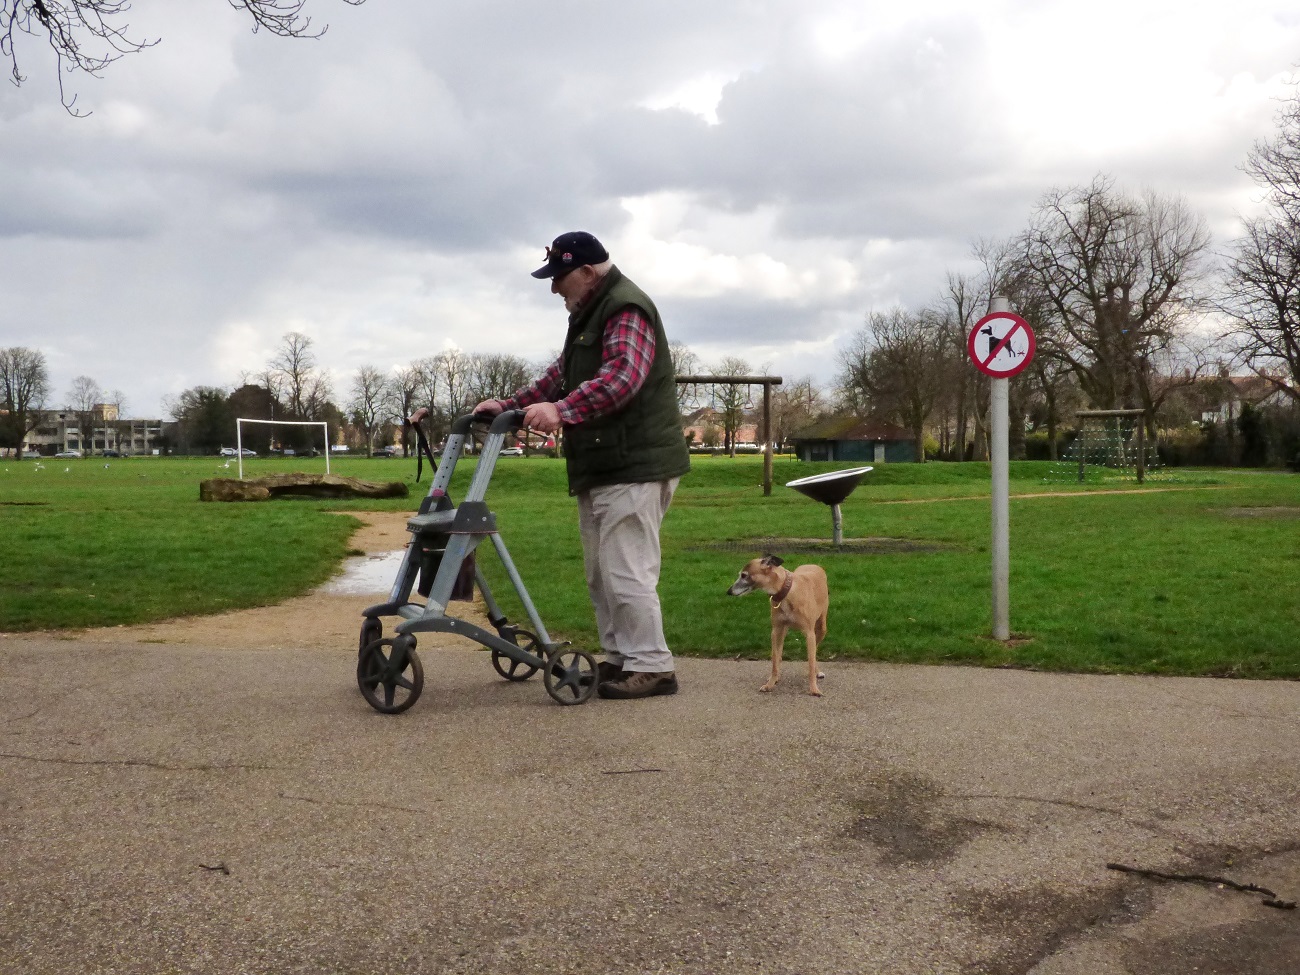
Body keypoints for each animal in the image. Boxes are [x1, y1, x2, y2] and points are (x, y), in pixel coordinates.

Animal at [728, 556, 826, 696]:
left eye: (744, 575)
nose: (729, 591)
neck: (787, 593)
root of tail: (813, 564)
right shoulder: (776, 631)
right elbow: (774, 659)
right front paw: (770, 684)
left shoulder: (809, 633)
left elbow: (811, 661)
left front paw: (814, 689)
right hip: (783, 631)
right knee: (779, 654)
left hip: (821, 627)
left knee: (815, 651)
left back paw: (817, 672)